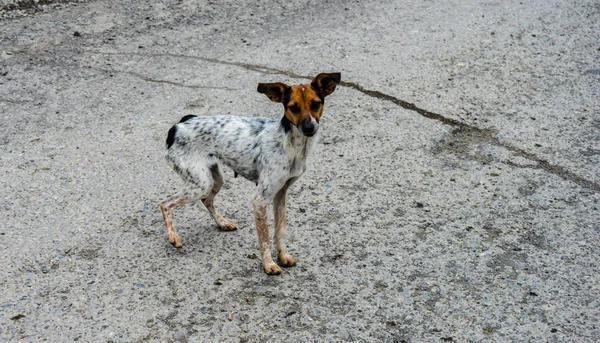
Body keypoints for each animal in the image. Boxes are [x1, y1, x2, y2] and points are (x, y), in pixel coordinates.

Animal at [159, 73, 340, 276]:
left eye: (316, 104)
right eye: (293, 107)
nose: (309, 128)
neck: (291, 144)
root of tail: (181, 123)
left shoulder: (281, 194)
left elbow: (280, 231)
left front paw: (283, 256)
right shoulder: (260, 200)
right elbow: (265, 237)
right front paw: (269, 264)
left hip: (215, 179)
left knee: (207, 200)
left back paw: (222, 223)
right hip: (200, 184)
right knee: (165, 204)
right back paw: (173, 236)